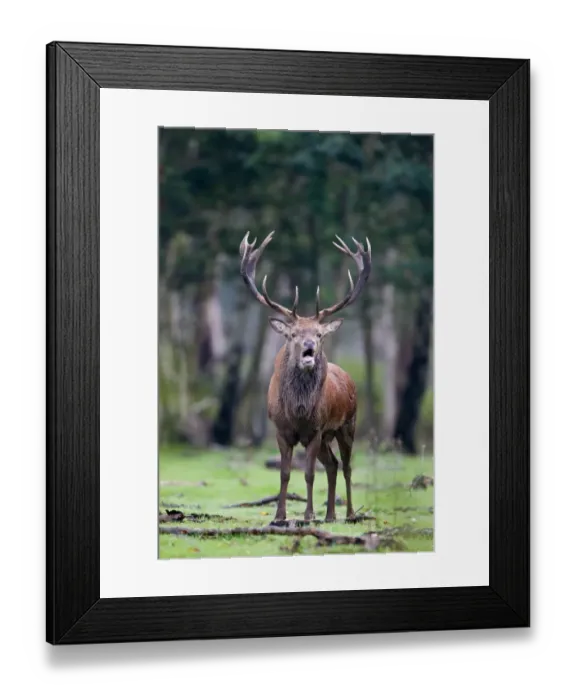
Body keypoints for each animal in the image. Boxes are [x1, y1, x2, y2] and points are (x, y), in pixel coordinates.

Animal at [239, 230, 372, 524]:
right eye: (293, 334)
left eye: (319, 334)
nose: (309, 347)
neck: (298, 410)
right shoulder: (281, 429)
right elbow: (285, 473)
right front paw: (279, 516)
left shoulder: (316, 429)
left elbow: (309, 474)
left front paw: (308, 515)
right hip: (328, 437)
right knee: (332, 464)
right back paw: (330, 515)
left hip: (348, 424)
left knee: (346, 466)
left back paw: (348, 514)